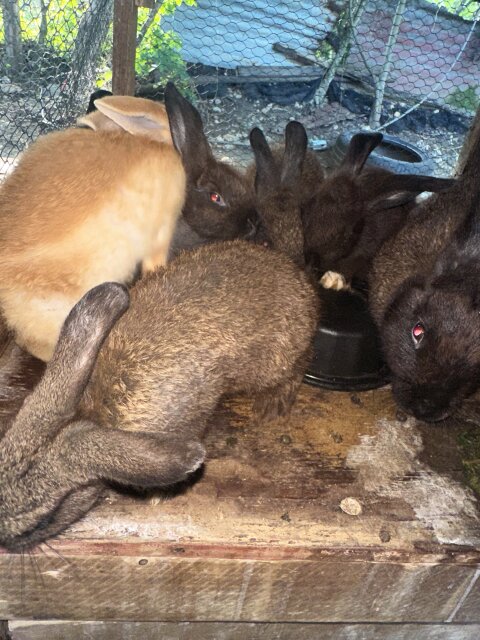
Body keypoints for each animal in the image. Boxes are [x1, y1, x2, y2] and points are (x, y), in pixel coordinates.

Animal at [0, 240, 319, 551]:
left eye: (41, 522)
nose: (5, 544)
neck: (95, 410)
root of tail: (294, 273)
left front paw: (159, 495)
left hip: (276, 362)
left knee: (298, 366)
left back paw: (272, 406)